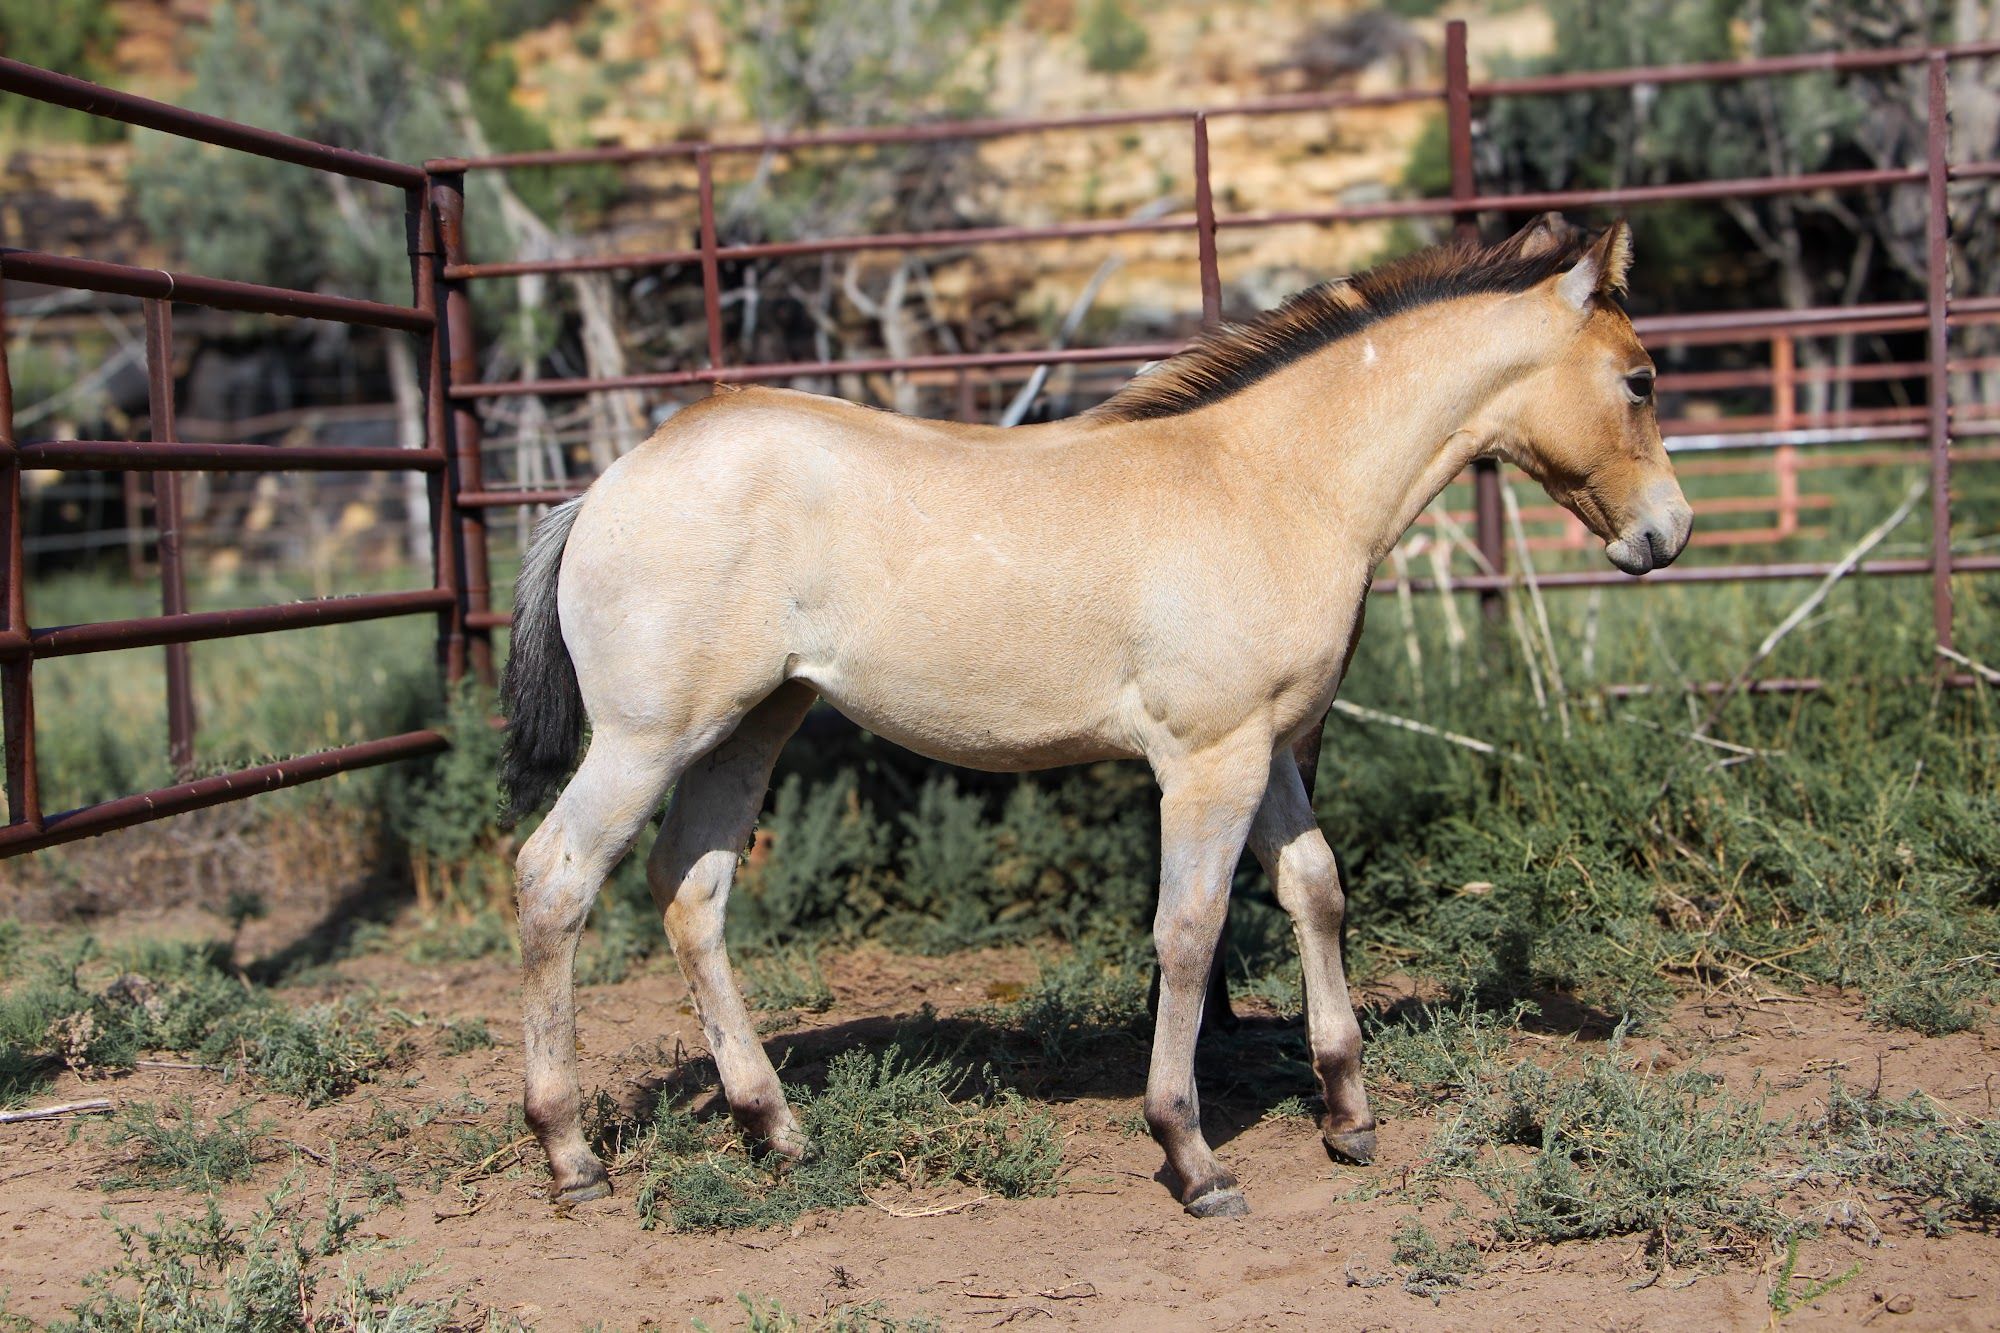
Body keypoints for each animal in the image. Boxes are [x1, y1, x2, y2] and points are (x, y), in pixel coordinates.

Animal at [497, 214, 1692, 1219]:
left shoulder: (1266, 746)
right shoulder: (1207, 758)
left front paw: (1347, 1115)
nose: (1667, 533)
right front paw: (1191, 1156)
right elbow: (1189, 931)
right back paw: (570, 1153)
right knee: (555, 878)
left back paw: (776, 1129)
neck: (1270, 481)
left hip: (753, 724)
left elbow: (1314, 891)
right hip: (648, 737)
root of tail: (600, 489)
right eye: (1637, 379)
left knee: (690, 889)